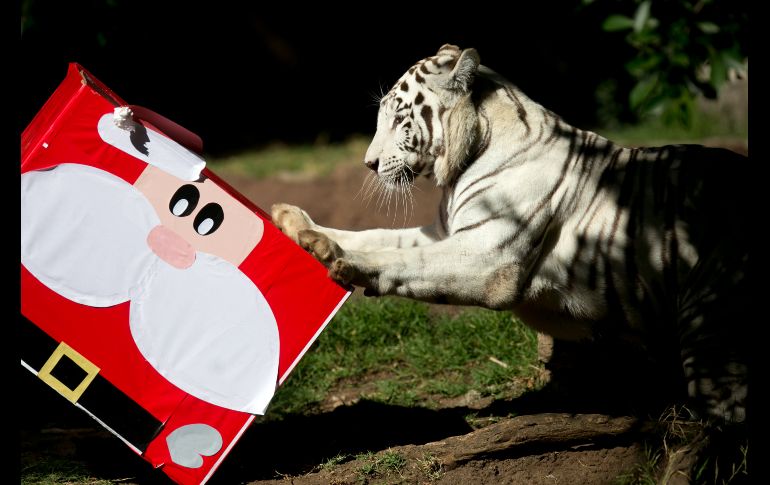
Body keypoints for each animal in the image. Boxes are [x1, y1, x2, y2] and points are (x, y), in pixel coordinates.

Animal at [271, 44, 749, 424]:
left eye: (400, 118)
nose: (369, 164)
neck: (463, 161)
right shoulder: (444, 232)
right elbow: (378, 237)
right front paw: (299, 226)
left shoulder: (487, 256)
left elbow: (403, 261)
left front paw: (342, 261)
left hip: (707, 317)